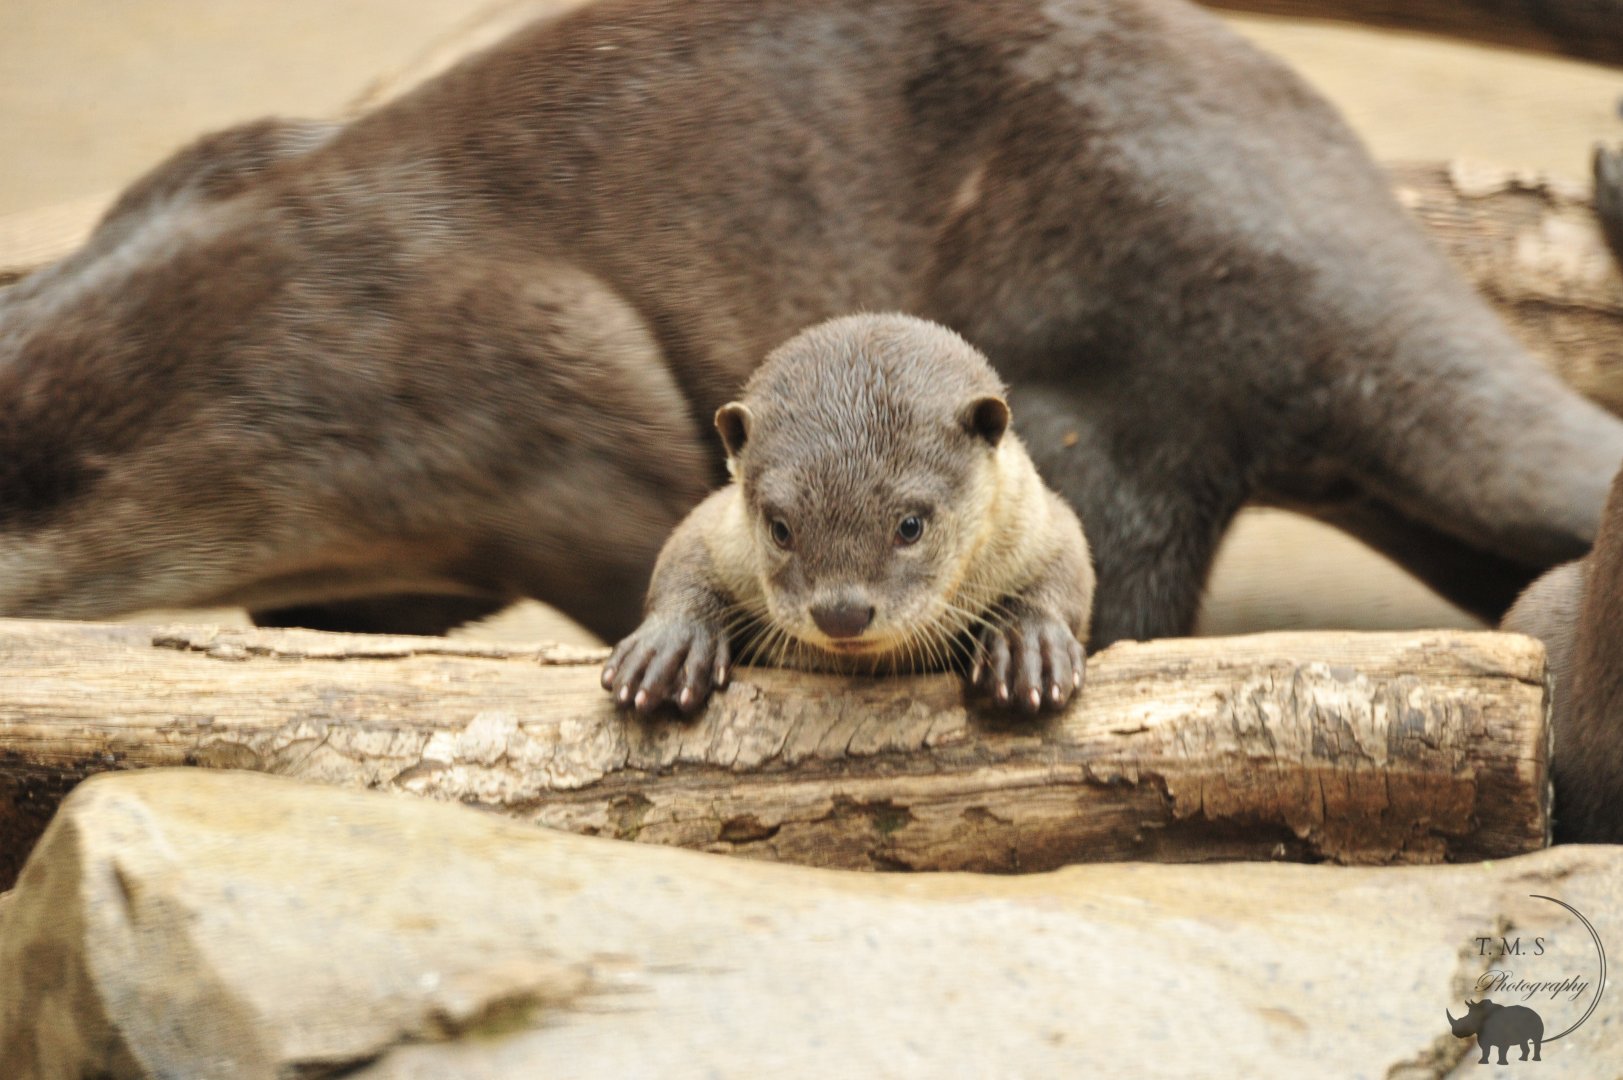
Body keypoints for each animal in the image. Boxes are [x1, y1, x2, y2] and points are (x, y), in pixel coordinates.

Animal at [602, 315, 1093, 714]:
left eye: (910, 526)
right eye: (781, 530)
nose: (842, 614)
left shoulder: (1033, 514)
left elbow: (1070, 558)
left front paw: (1030, 643)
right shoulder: (723, 531)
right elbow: (684, 547)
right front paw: (671, 645)